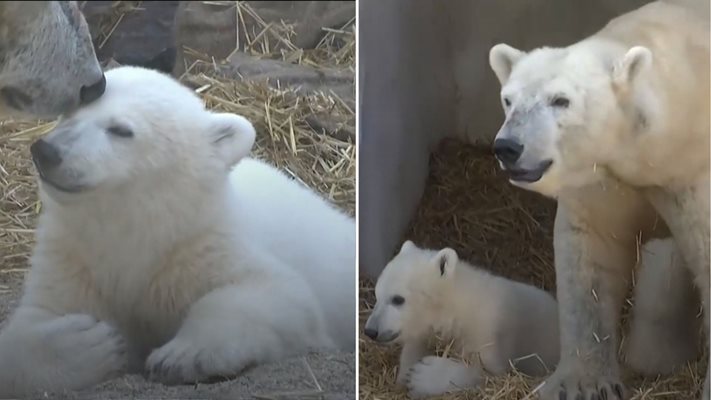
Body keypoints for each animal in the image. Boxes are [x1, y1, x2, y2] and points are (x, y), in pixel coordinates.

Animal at [0, 66, 356, 396]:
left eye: (121, 130)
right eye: (69, 113)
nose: (46, 151)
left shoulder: (200, 247)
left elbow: (277, 293)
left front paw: (180, 356)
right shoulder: (74, 258)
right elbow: (38, 318)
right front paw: (89, 341)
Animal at [486, 0, 708, 400]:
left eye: (561, 100)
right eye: (507, 99)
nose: (507, 147)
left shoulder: (690, 175)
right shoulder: (601, 175)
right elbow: (591, 255)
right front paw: (583, 383)